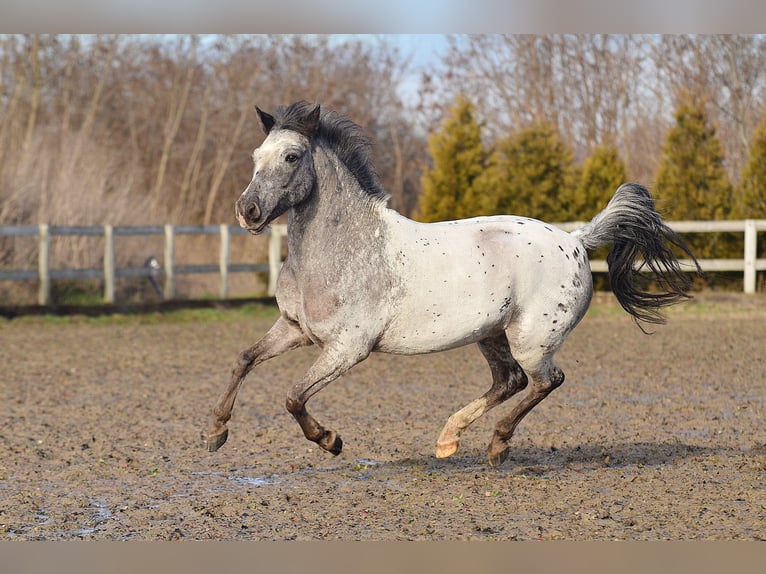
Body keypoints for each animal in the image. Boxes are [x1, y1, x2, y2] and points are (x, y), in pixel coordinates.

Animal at [204, 100, 704, 468]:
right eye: (256, 158)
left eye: (291, 156)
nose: (247, 212)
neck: (345, 248)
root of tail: (577, 240)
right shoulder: (295, 329)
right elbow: (243, 359)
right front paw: (215, 433)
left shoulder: (347, 348)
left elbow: (292, 398)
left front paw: (330, 440)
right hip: (491, 334)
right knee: (510, 381)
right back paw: (449, 440)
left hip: (532, 339)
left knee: (545, 381)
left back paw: (497, 446)